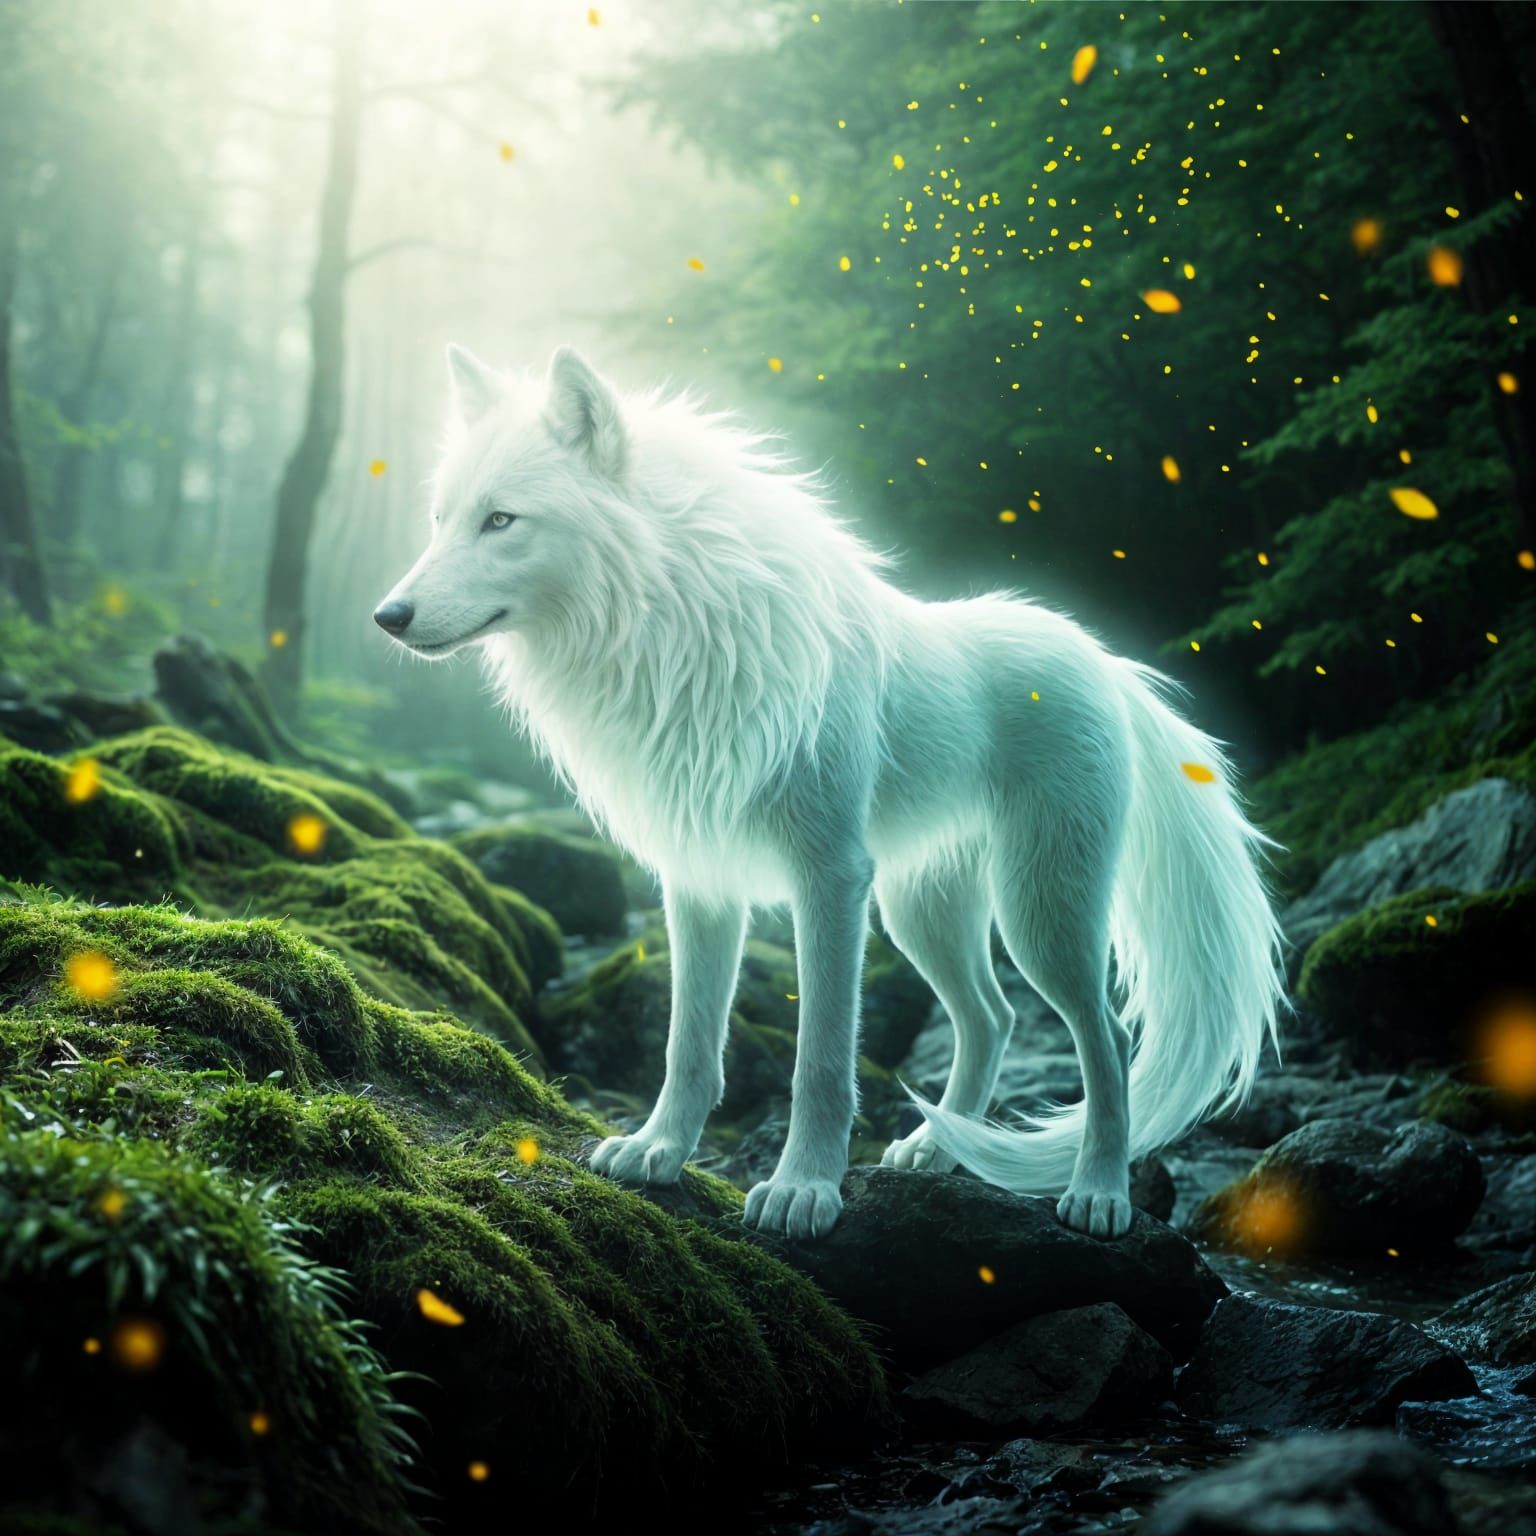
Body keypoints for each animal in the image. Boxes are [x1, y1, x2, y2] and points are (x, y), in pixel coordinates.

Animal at [374, 344, 1284, 1242]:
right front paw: (660, 1150)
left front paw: (802, 1190)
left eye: (501, 520)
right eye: (441, 520)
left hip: (1041, 915)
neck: (676, 626)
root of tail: (1101, 659)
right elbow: (687, 1043)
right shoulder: (699, 880)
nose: (388, 615)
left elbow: (819, 1060)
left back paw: (1098, 1194)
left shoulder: (830, 878)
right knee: (993, 1018)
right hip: (922, 914)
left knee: (1105, 1041)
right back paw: (935, 1149)